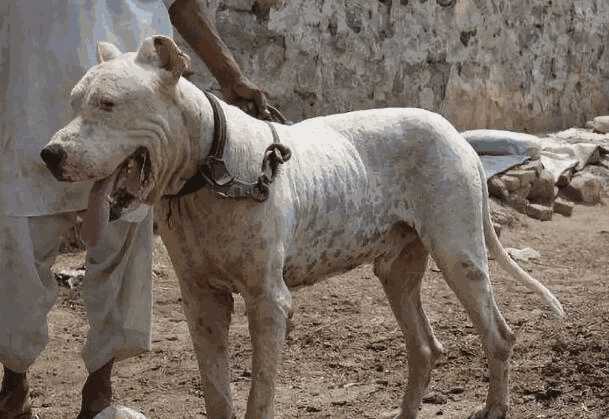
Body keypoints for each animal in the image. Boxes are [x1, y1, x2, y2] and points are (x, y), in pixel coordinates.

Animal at [42, 37, 564, 419]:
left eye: (108, 104)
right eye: (73, 102)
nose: (50, 154)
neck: (211, 169)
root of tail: (456, 133)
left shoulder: (269, 302)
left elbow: (259, 398)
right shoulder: (201, 301)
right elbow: (217, 393)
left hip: (459, 257)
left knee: (499, 337)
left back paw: (494, 407)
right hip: (397, 272)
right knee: (425, 348)